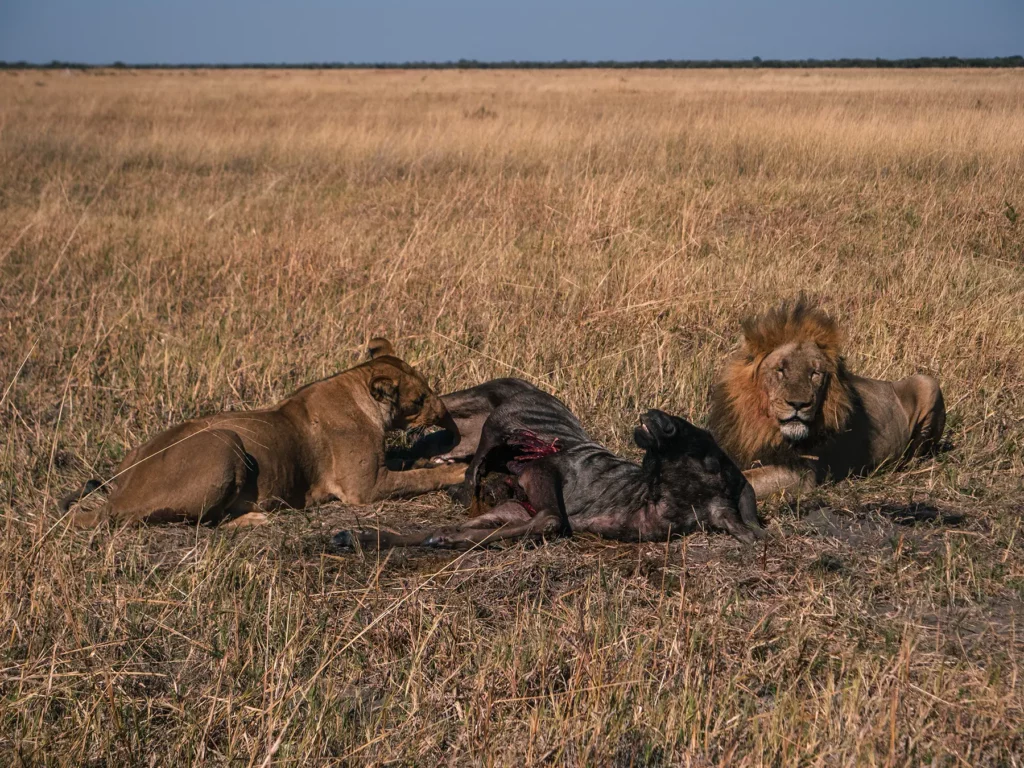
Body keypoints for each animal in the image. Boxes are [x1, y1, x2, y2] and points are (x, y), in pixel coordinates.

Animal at [60, 339, 466, 527]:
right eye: (421, 398)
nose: (446, 414)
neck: (356, 386)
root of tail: (117, 496)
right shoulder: (363, 490)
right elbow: (418, 478)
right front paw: (458, 470)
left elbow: (411, 464)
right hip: (225, 441)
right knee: (206, 522)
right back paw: (254, 518)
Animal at [708, 300, 946, 499]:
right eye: (780, 370)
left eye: (815, 373)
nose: (799, 404)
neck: (764, 425)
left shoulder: (801, 474)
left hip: (927, 382)